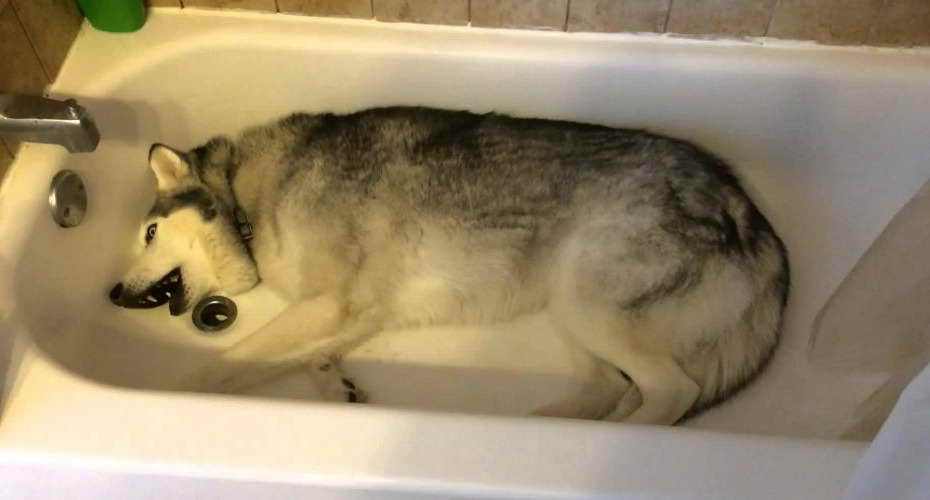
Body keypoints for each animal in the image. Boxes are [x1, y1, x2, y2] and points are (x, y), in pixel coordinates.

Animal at [110, 107, 792, 424]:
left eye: (148, 233)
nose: (115, 294)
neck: (250, 202)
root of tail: (745, 206)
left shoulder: (326, 304)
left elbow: (223, 366)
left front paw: (180, 398)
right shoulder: (360, 312)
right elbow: (300, 358)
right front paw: (335, 386)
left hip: (589, 304)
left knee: (673, 391)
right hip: (570, 310)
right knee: (609, 389)